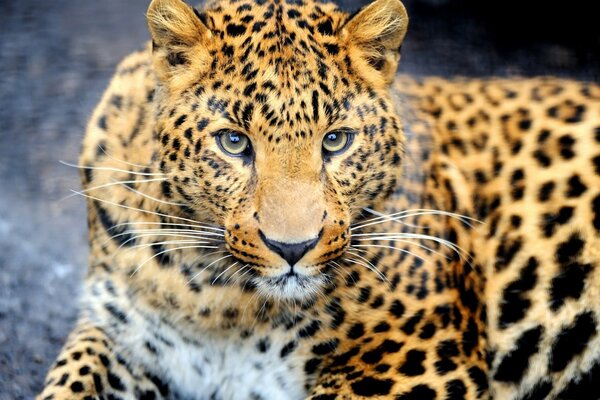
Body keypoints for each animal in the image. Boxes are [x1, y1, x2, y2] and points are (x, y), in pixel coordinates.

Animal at [38, 0, 600, 398]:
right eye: (234, 142)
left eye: (335, 141)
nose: (293, 248)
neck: (218, 302)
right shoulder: (120, 331)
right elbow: (69, 380)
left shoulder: (417, 359)